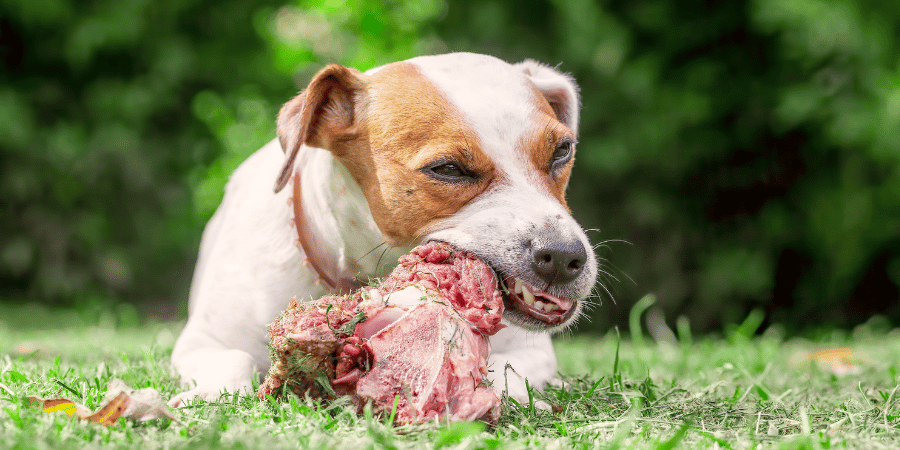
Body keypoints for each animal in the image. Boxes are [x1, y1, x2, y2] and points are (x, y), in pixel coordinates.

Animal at [172, 52, 600, 408]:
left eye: (562, 150)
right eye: (448, 169)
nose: (564, 256)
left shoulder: (533, 351)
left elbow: (503, 372)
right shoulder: (202, 342)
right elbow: (234, 358)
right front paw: (210, 395)